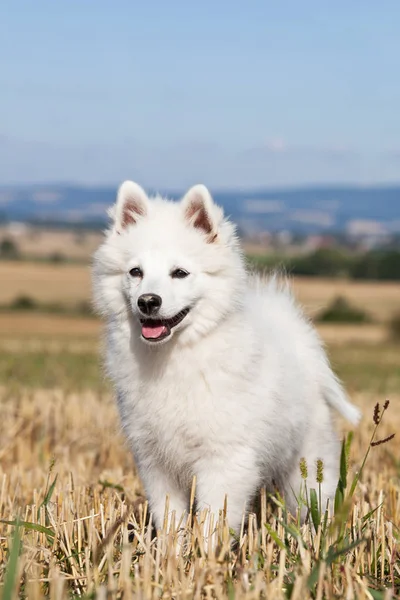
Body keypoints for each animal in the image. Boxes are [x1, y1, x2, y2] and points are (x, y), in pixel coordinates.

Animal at [92, 180, 360, 540]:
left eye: (180, 273)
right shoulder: (155, 462)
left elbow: (212, 522)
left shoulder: (225, 460)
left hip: (306, 465)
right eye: (136, 272)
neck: (176, 356)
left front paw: (207, 554)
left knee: (315, 498)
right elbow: (170, 520)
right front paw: (171, 554)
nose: (147, 301)